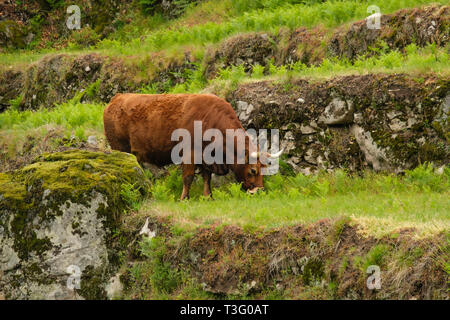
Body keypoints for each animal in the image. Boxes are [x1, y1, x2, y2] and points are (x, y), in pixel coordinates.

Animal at [103, 92, 282, 200]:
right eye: (253, 170)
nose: (259, 191)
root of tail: (117, 97)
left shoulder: (206, 157)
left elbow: (206, 177)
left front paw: (208, 196)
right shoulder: (188, 153)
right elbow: (188, 177)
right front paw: (184, 198)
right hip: (119, 148)